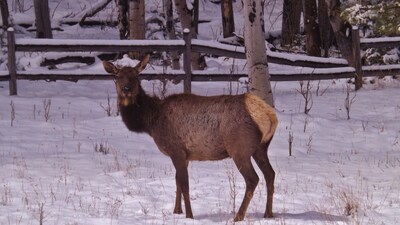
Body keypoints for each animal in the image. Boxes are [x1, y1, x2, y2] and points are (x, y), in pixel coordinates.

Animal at [103, 55, 278, 221]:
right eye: (118, 76)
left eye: (135, 76)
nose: (126, 89)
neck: (151, 122)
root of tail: (269, 115)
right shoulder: (185, 155)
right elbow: (177, 182)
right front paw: (176, 211)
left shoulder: (176, 150)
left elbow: (184, 184)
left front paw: (189, 215)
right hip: (261, 148)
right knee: (270, 174)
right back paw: (268, 213)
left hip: (239, 149)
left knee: (253, 179)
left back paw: (238, 216)